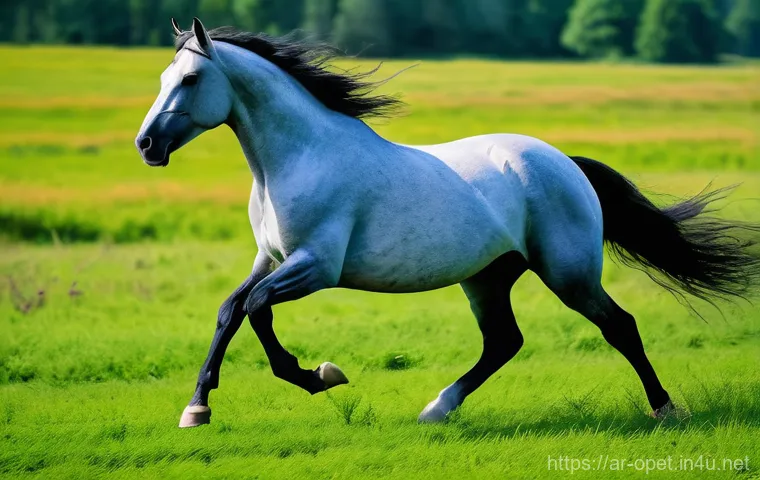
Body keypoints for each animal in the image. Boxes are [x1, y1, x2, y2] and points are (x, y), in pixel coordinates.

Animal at [136, 18, 760, 428]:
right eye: (164, 75)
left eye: (189, 80)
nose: (146, 145)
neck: (299, 157)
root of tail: (564, 161)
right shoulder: (270, 258)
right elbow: (231, 310)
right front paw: (196, 408)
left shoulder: (315, 266)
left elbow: (258, 309)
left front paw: (320, 375)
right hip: (488, 277)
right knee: (505, 342)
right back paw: (437, 409)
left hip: (569, 273)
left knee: (620, 326)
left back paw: (665, 408)